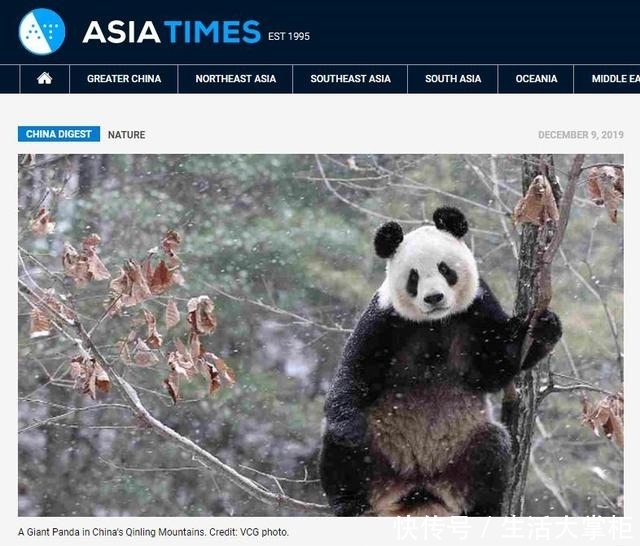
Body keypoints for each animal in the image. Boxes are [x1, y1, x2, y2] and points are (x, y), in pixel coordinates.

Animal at [320, 204, 560, 516]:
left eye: (445, 270)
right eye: (413, 278)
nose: (434, 297)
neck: (434, 322)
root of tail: (419, 490)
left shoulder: (475, 308)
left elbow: (496, 362)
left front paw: (545, 326)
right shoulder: (385, 319)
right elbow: (355, 371)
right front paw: (349, 430)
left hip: (461, 452)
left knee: (492, 448)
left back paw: (483, 508)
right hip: (379, 454)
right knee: (339, 452)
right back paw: (350, 503)